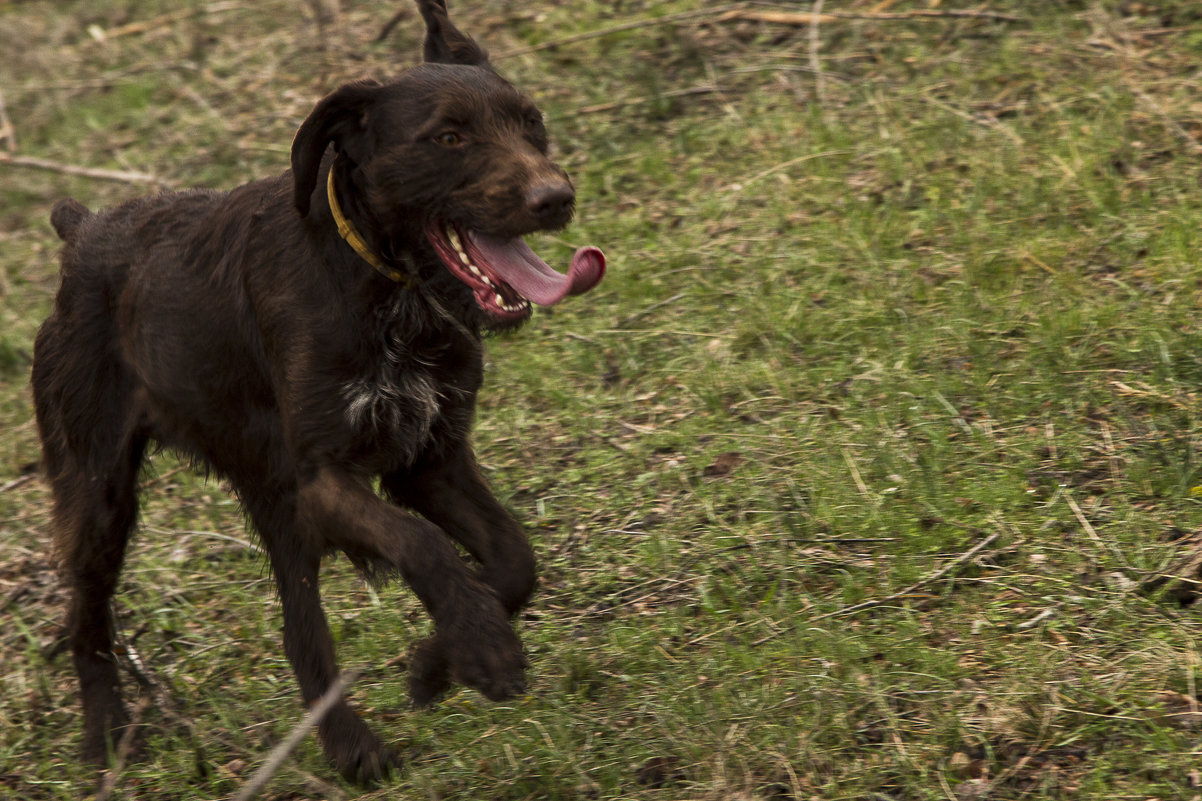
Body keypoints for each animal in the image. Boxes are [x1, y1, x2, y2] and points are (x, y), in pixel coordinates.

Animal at [30, 0, 601, 779]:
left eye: (531, 121)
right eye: (449, 137)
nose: (556, 198)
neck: (387, 292)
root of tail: (81, 234)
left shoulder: (430, 461)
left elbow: (515, 559)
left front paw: (439, 660)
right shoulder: (324, 479)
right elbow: (423, 543)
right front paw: (482, 649)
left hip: (271, 502)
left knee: (300, 629)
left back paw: (349, 746)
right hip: (100, 496)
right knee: (85, 617)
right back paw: (108, 737)